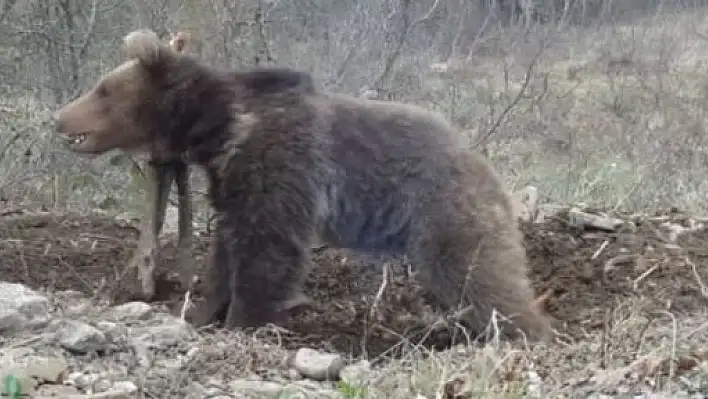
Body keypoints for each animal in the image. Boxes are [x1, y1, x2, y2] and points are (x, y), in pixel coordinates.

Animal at [54, 28, 552, 342]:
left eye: (102, 89)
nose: (59, 117)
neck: (219, 130)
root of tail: (482, 164)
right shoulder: (230, 179)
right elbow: (226, 248)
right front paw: (203, 312)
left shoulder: (280, 163)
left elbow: (267, 246)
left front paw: (242, 320)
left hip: (446, 211)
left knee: (481, 272)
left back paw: (522, 330)